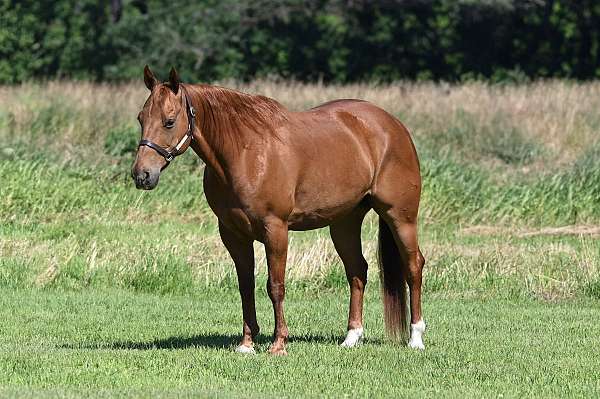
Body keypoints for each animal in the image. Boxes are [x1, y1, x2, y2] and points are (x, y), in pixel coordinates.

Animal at [130, 66, 426, 356]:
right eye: (141, 118)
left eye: (169, 121)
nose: (142, 175)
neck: (244, 153)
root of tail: (393, 125)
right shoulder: (233, 234)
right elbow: (245, 285)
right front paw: (247, 344)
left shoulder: (276, 229)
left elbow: (275, 286)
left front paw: (278, 343)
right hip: (344, 223)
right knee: (357, 270)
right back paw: (352, 337)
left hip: (401, 217)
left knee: (413, 266)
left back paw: (416, 338)